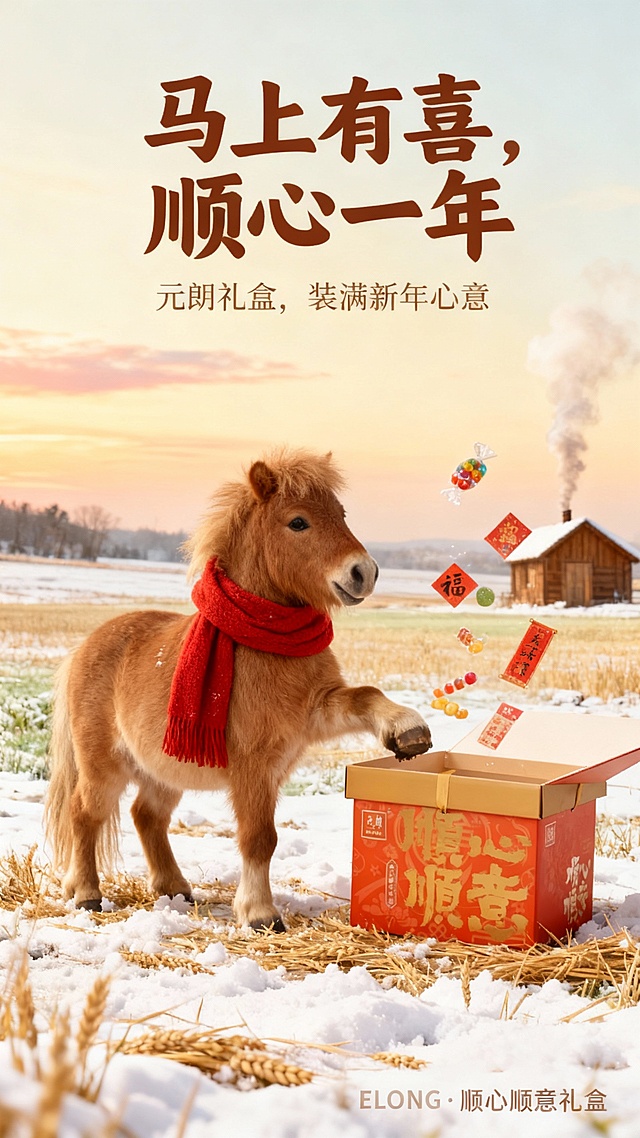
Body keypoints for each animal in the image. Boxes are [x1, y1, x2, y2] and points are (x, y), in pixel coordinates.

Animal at [45, 449, 432, 931]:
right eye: (298, 522)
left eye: (341, 514)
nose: (364, 572)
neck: (266, 642)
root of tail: (84, 648)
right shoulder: (253, 768)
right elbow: (259, 838)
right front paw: (260, 913)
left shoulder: (317, 712)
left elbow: (366, 694)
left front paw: (407, 731)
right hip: (104, 767)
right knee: (84, 813)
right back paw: (85, 893)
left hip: (163, 769)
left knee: (146, 817)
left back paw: (174, 888)